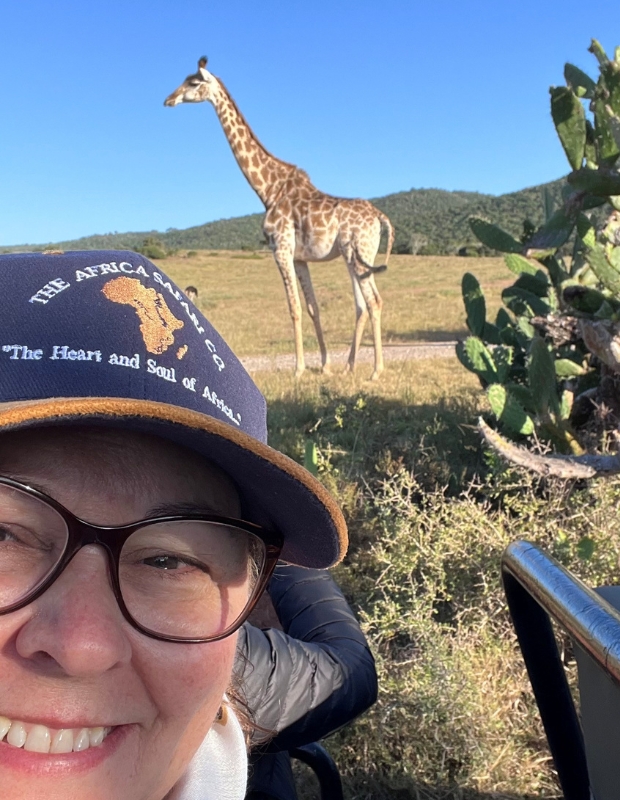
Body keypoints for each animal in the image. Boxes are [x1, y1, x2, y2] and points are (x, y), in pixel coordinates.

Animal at [164, 57, 394, 380]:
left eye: (193, 83)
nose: (168, 100)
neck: (269, 190)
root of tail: (380, 217)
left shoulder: (281, 249)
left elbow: (294, 308)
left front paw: (298, 369)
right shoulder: (299, 257)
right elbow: (312, 308)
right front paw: (325, 366)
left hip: (358, 253)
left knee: (374, 301)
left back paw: (375, 371)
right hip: (354, 257)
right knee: (362, 304)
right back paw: (349, 367)